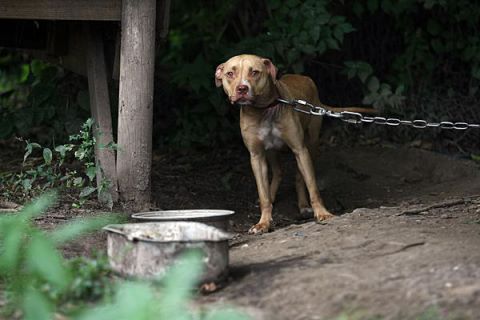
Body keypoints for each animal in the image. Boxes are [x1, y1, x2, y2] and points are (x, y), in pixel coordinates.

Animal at [215, 54, 376, 235]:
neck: (264, 110)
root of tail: (305, 78)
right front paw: (263, 222)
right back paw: (273, 197)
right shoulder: (256, 157)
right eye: (230, 74)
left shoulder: (300, 149)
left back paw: (304, 206)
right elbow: (263, 194)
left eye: (255, 72)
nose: (242, 88)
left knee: (299, 177)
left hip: (310, 145)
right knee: (278, 172)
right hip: (271, 152)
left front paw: (322, 213)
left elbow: (312, 187)